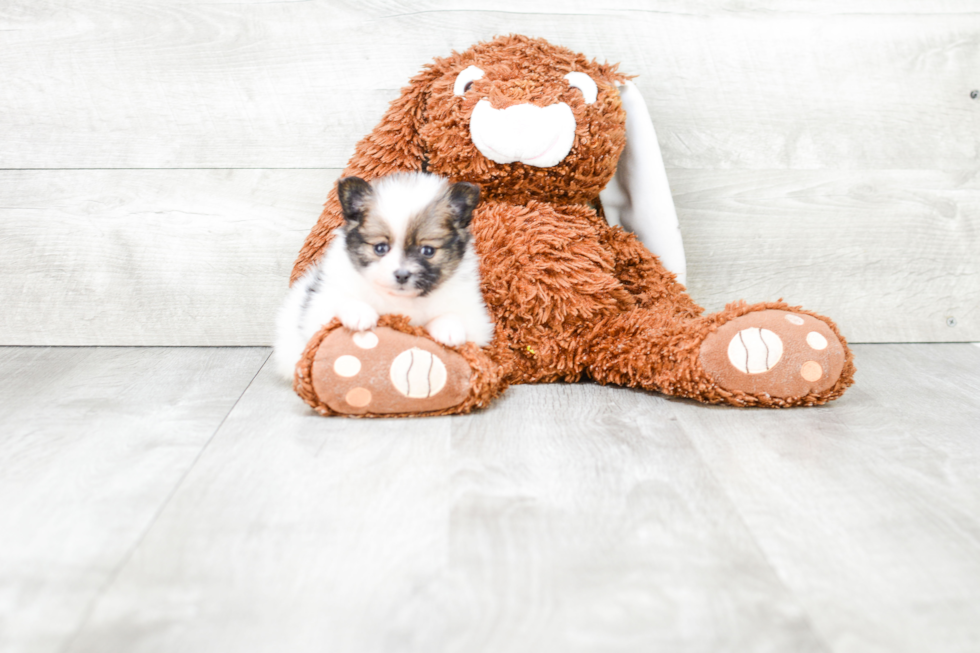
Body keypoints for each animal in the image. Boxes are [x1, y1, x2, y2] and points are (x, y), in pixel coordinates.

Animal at [272, 171, 494, 380]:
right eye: (380, 248)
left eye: (428, 251)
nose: (402, 275)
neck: (400, 300)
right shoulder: (320, 306)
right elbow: (343, 301)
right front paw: (359, 314)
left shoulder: (476, 319)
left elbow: (453, 316)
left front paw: (449, 329)